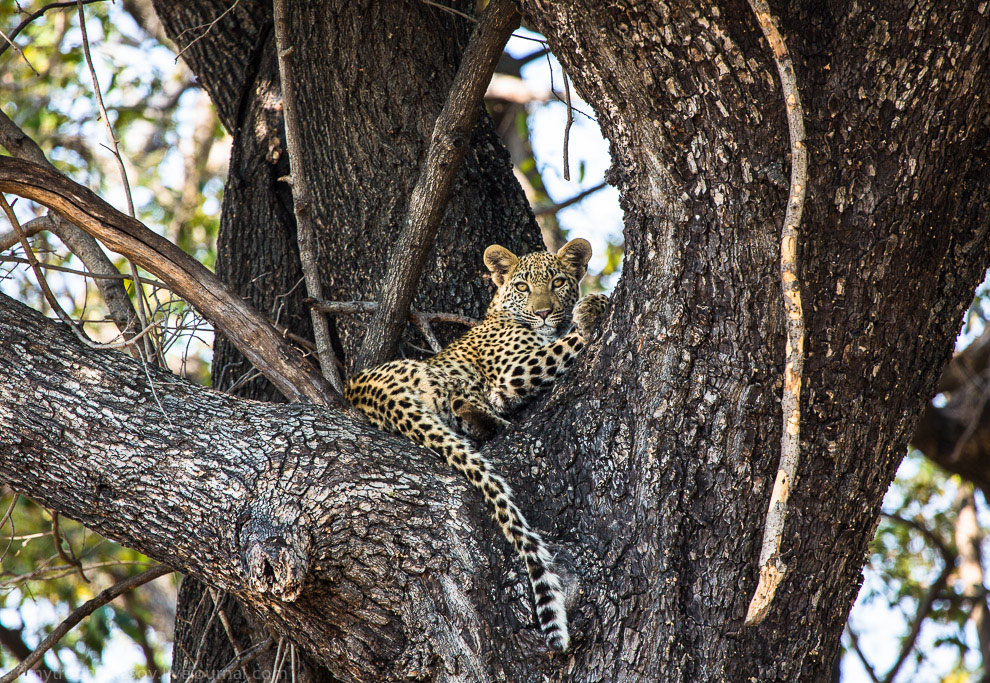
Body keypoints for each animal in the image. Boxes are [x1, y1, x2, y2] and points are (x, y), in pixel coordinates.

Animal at [348, 239, 612, 652]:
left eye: (557, 282)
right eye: (522, 286)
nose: (544, 312)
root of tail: (362, 389)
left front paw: (581, 310)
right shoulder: (516, 368)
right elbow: (566, 342)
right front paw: (593, 308)